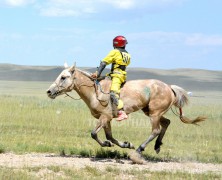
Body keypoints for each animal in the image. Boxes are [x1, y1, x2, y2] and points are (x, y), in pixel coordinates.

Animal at [46, 64, 206, 162]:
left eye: (63, 77)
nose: (49, 91)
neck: (96, 92)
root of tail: (169, 87)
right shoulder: (107, 119)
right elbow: (109, 136)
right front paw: (125, 144)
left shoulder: (105, 117)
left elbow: (94, 133)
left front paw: (109, 144)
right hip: (150, 111)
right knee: (166, 122)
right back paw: (157, 146)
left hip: (154, 114)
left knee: (156, 130)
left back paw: (140, 149)